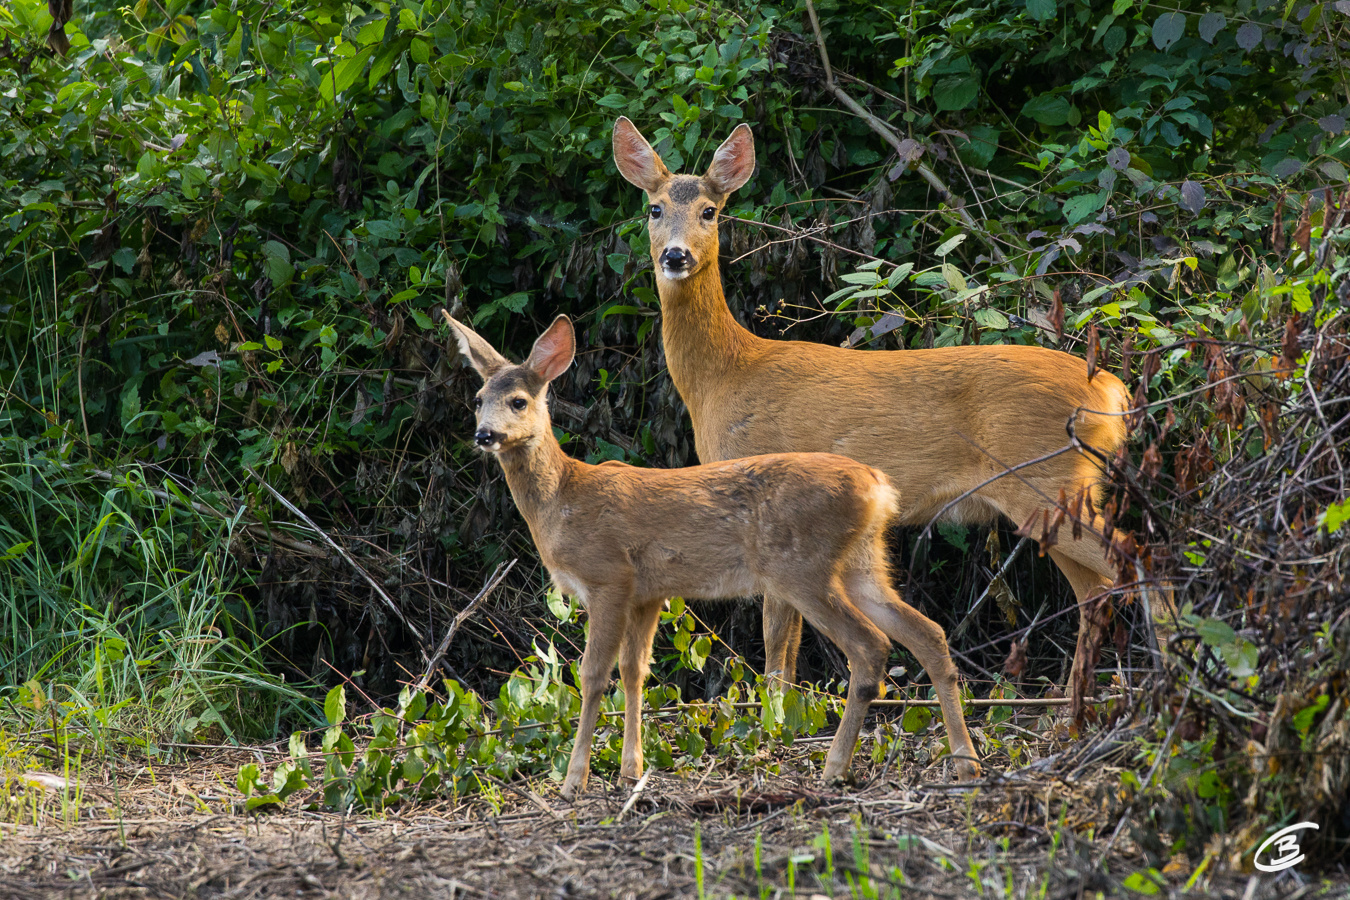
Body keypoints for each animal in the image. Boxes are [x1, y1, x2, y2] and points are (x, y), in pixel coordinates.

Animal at [442, 313, 982, 798]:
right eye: (477, 400)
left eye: (519, 401)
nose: (484, 435)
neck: (563, 499)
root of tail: (879, 487)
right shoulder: (647, 592)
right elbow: (635, 672)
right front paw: (631, 771)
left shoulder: (608, 576)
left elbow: (593, 675)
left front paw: (575, 781)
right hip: (861, 564)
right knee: (928, 633)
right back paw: (966, 763)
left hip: (801, 568)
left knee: (870, 649)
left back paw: (835, 768)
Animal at [618, 118, 1134, 712]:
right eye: (654, 208)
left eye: (709, 210)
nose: (675, 256)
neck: (726, 375)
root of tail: (1115, 392)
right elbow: (788, 639)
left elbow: (776, 638)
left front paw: (775, 716)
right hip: (1062, 490)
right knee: (1095, 591)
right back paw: (1070, 711)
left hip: (1044, 479)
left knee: (1129, 558)